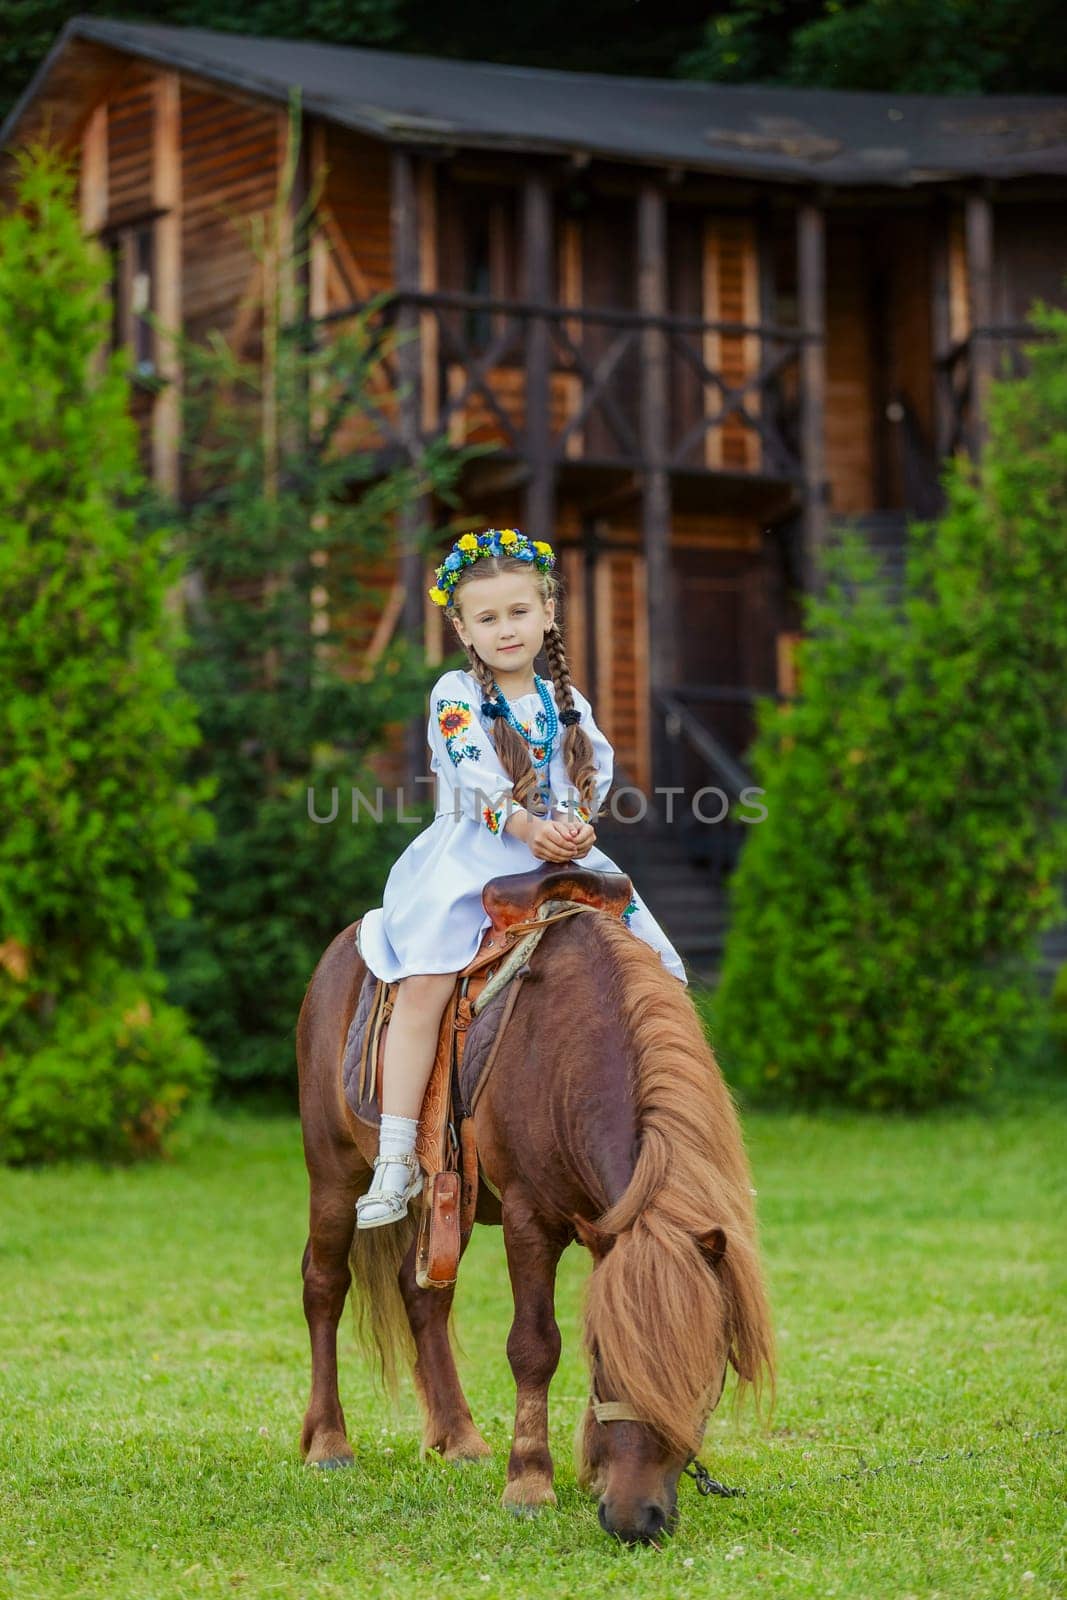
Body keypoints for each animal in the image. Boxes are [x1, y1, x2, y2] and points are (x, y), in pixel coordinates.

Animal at [295, 908, 771, 1542]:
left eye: (704, 1373)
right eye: (606, 1362)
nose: (634, 1519)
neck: (568, 1054)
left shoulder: (606, 1227)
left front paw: (592, 1469)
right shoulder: (527, 1219)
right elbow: (534, 1346)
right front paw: (528, 1483)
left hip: (449, 1203)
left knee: (421, 1296)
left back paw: (460, 1439)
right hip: (333, 1171)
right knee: (324, 1286)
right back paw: (328, 1442)